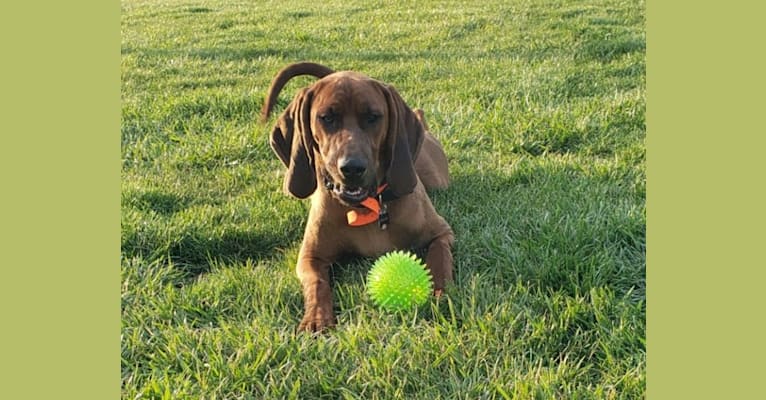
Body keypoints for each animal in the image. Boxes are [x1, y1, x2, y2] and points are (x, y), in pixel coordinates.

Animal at [264, 61, 456, 332]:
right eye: (327, 118)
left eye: (373, 117)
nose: (352, 168)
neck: (369, 206)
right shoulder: (310, 257)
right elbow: (317, 284)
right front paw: (316, 318)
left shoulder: (442, 233)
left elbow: (440, 259)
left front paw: (440, 293)